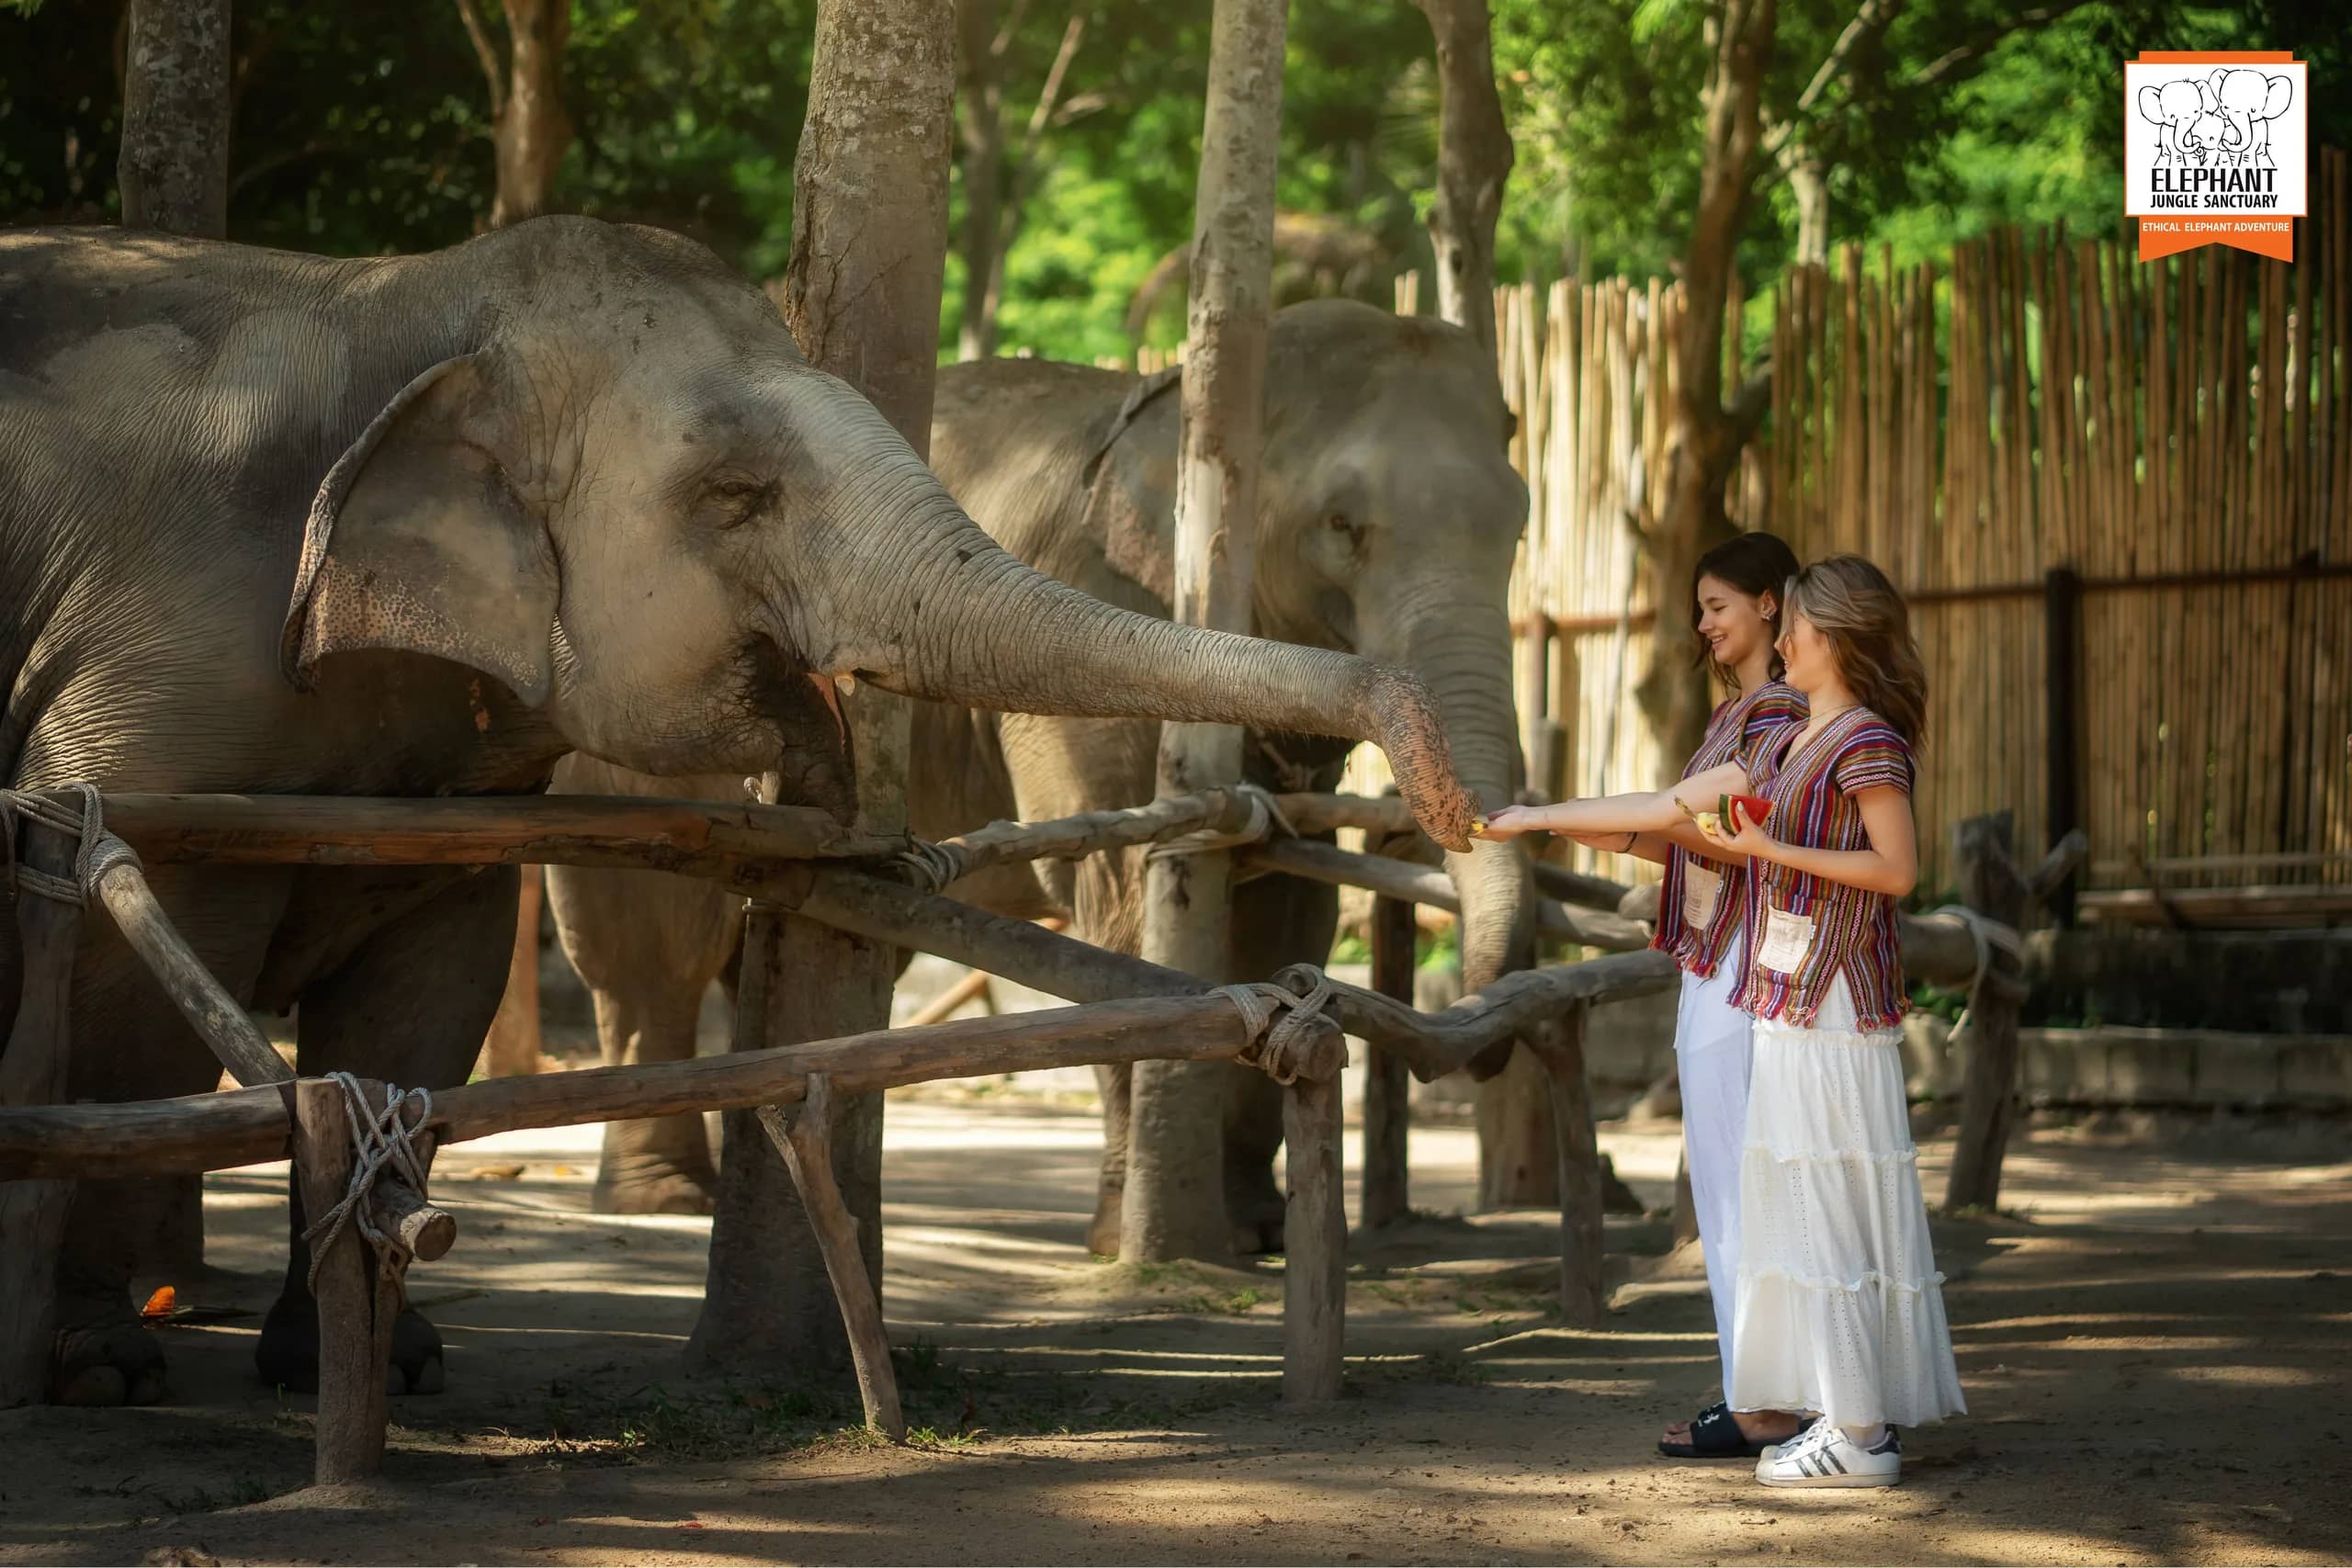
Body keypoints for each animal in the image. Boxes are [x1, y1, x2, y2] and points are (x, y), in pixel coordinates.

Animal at [541, 299, 1534, 1252]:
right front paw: (1129, 1242)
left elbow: (1292, 907)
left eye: (1523, 520)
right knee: (650, 945)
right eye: (1340, 525)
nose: (1458, 816)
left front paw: (1255, 1233)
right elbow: (1121, 898)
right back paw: (665, 1198)